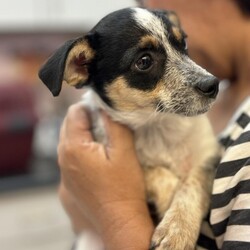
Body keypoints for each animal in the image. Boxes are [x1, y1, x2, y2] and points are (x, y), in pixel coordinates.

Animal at [38, 6, 220, 249]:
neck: (156, 126)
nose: (213, 84)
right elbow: (154, 171)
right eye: (144, 61)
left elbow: (191, 186)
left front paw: (177, 228)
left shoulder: (208, 158)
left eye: (183, 44)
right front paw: (169, 201)